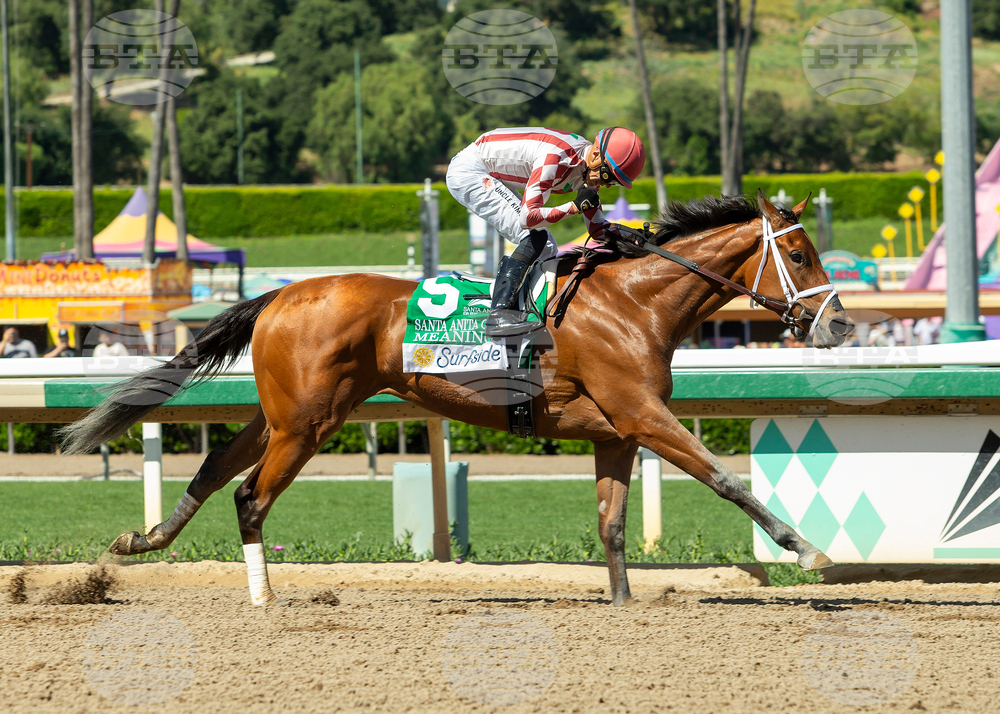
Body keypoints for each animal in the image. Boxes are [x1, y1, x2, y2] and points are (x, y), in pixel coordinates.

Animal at [61, 190, 854, 607]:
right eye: (802, 254)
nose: (842, 325)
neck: (634, 303)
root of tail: (282, 293)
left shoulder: (617, 433)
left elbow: (613, 525)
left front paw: (624, 603)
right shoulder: (645, 416)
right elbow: (725, 479)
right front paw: (809, 551)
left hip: (283, 414)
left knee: (215, 467)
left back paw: (141, 541)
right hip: (310, 422)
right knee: (250, 495)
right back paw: (264, 598)